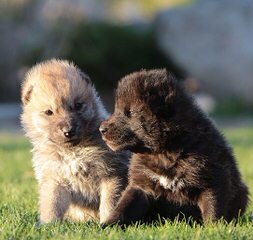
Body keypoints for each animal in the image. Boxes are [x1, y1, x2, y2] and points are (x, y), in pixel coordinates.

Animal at [20, 59, 129, 224]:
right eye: (49, 112)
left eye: (78, 105)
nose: (68, 131)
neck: (73, 151)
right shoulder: (55, 179)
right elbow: (51, 204)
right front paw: (48, 224)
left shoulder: (112, 174)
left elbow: (110, 203)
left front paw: (108, 223)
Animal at [99, 69, 249, 225]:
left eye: (129, 112)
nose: (101, 129)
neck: (164, 151)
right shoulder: (141, 184)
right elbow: (124, 206)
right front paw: (106, 225)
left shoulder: (213, 180)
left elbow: (213, 208)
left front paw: (214, 228)